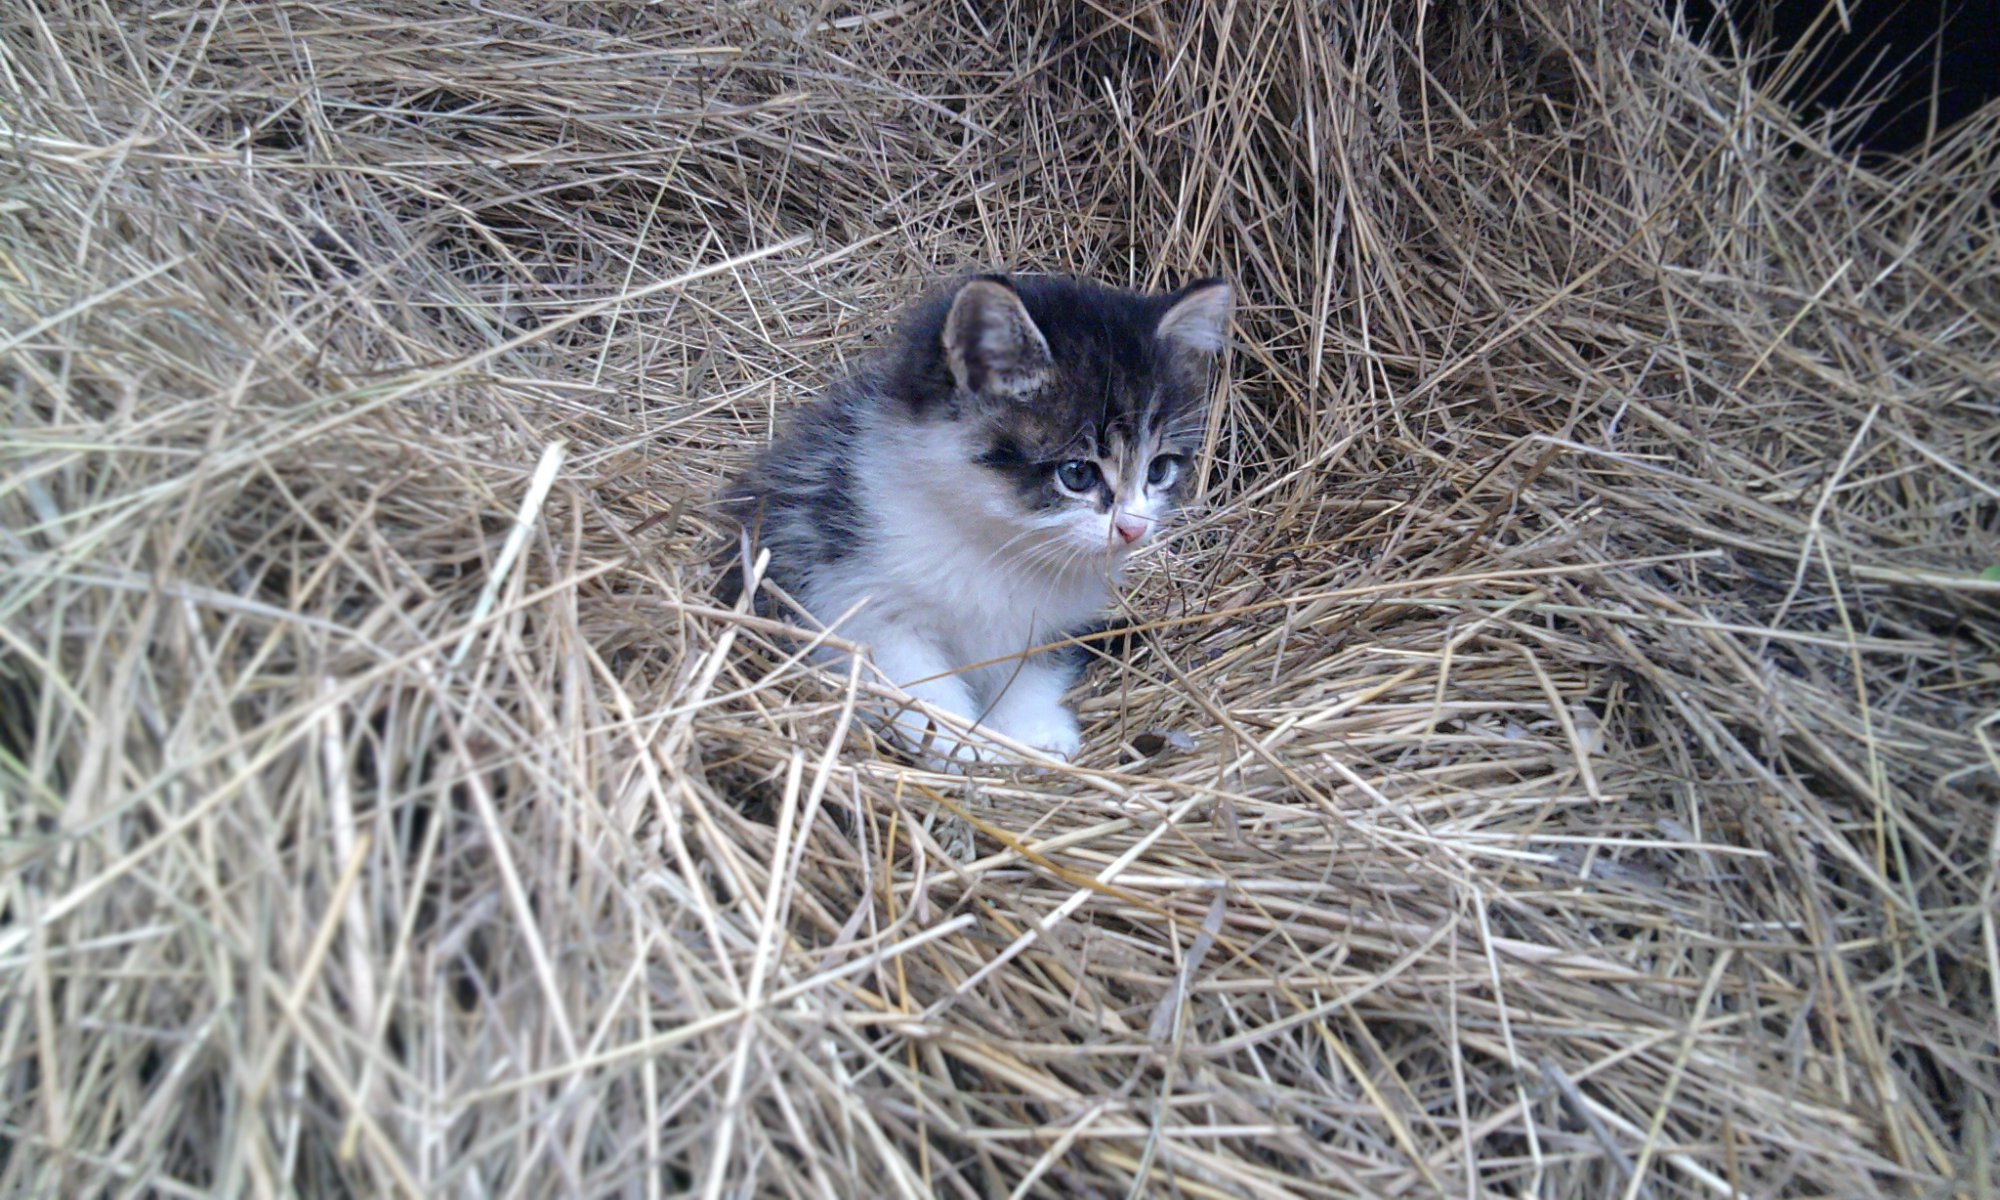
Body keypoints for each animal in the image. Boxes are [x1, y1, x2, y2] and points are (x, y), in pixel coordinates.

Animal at [720, 270, 1232, 764]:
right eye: (1076, 474)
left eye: (1159, 469)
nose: (1133, 528)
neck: (995, 543)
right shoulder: (853, 592)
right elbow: (915, 681)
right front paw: (957, 744)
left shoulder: (1049, 622)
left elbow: (1033, 668)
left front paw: (1032, 731)